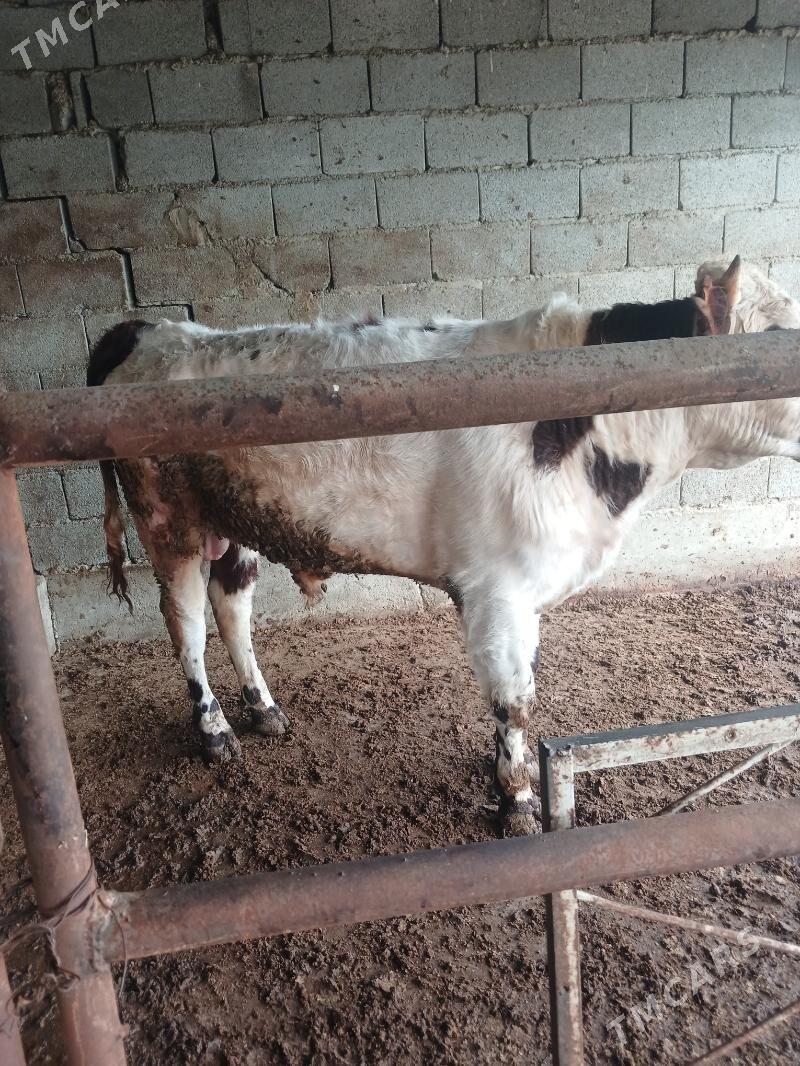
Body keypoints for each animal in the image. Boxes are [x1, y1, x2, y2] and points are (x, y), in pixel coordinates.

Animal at [88, 256, 800, 836]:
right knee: (185, 621)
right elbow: (515, 701)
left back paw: (263, 709)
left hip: (234, 523)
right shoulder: (498, 588)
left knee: (232, 606)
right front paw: (517, 803)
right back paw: (214, 731)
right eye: (773, 334)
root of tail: (147, 331)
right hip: (167, 523)